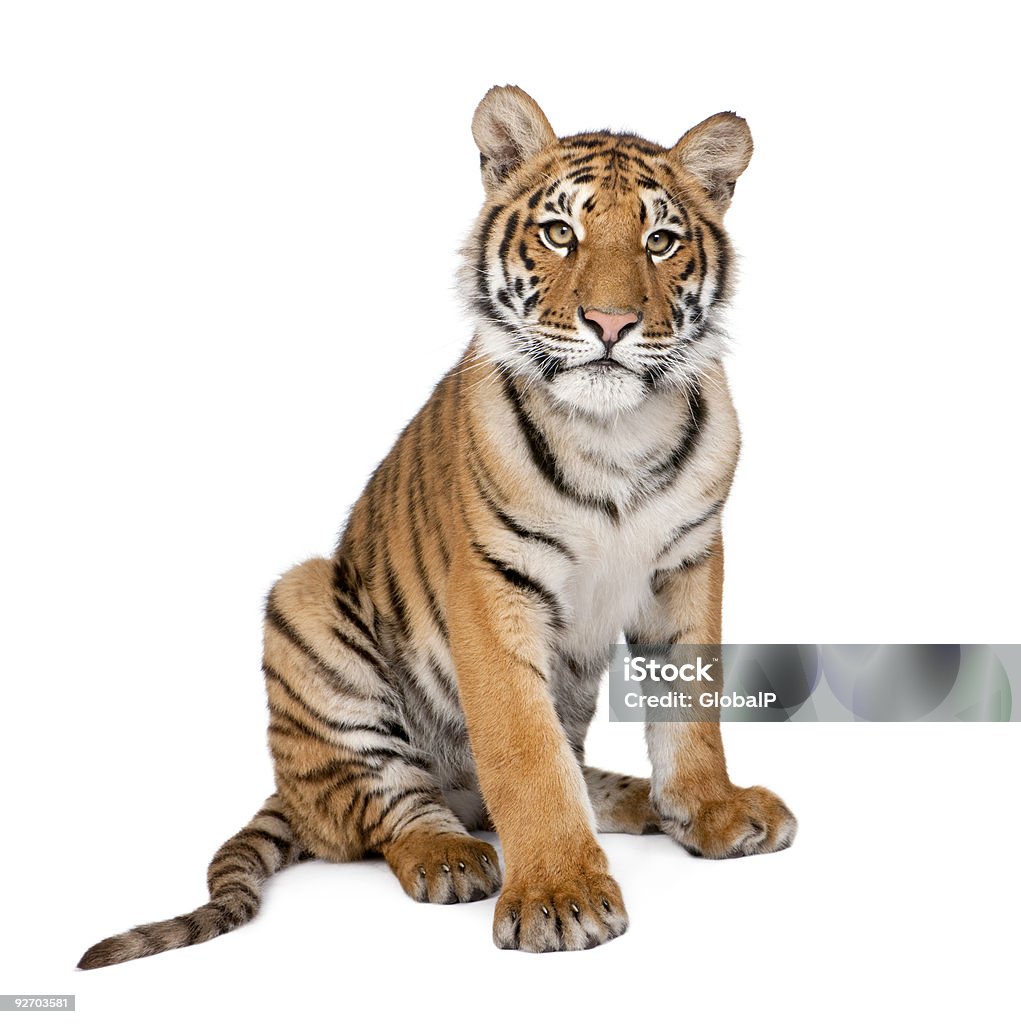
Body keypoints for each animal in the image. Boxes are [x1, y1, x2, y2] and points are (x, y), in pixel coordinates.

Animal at [79, 86, 798, 966]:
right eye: (560, 233)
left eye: (659, 241)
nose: (609, 322)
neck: (613, 432)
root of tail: (287, 790)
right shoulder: (492, 587)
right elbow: (523, 753)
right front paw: (559, 894)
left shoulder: (688, 563)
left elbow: (690, 712)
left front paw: (710, 810)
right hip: (306, 606)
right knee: (386, 811)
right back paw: (451, 856)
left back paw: (631, 801)